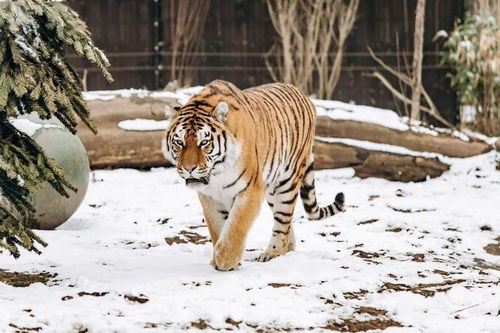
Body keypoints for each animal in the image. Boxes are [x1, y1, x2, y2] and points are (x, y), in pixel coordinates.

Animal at [162, 80, 346, 270]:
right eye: (179, 142)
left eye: (204, 142)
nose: (189, 168)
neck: (217, 174)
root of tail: (303, 94)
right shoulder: (209, 197)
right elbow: (217, 229)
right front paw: (218, 260)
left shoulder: (251, 189)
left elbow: (235, 227)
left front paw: (224, 260)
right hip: (272, 188)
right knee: (286, 223)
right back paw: (287, 247)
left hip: (287, 182)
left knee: (283, 221)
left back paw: (273, 252)